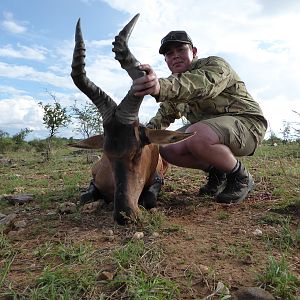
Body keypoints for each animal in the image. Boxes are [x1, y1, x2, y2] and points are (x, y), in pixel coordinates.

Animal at [70, 14, 193, 225]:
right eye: (106, 153)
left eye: (137, 151)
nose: (124, 215)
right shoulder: (94, 180)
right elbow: (84, 197)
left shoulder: (157, 180)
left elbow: (149, 199)